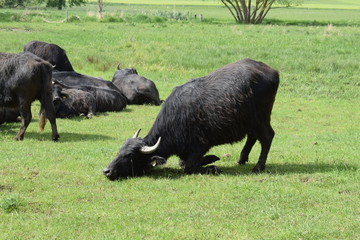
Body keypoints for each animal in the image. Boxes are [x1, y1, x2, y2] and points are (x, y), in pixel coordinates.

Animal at [102, 58, 280, 180]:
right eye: (119, 152)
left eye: (130, 156)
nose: (107, 171)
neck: (175, 121)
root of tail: (272, 71)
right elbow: (183, 163)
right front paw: (211, 159)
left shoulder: (200, 145)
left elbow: (188, 167)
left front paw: (212, 167)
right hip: (250, 121)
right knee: (252, 137)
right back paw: (242, 159)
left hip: (261, 118)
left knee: (267, 137)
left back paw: (258, 166)